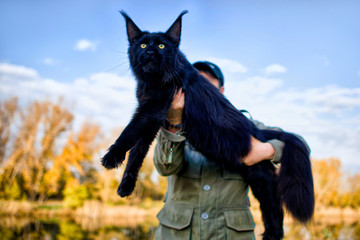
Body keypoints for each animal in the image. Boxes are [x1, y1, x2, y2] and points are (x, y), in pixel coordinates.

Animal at [102, 10, 316, 239]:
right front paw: (126, 185)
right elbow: (137, 153)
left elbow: (129, 132)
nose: (150, 52)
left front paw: (111, 156)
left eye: (161, 45)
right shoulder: (153, 117)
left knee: (275, 209)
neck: (152, 82)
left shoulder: (152, 109)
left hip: (261, 179)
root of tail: (258, 131)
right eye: (142, 45)